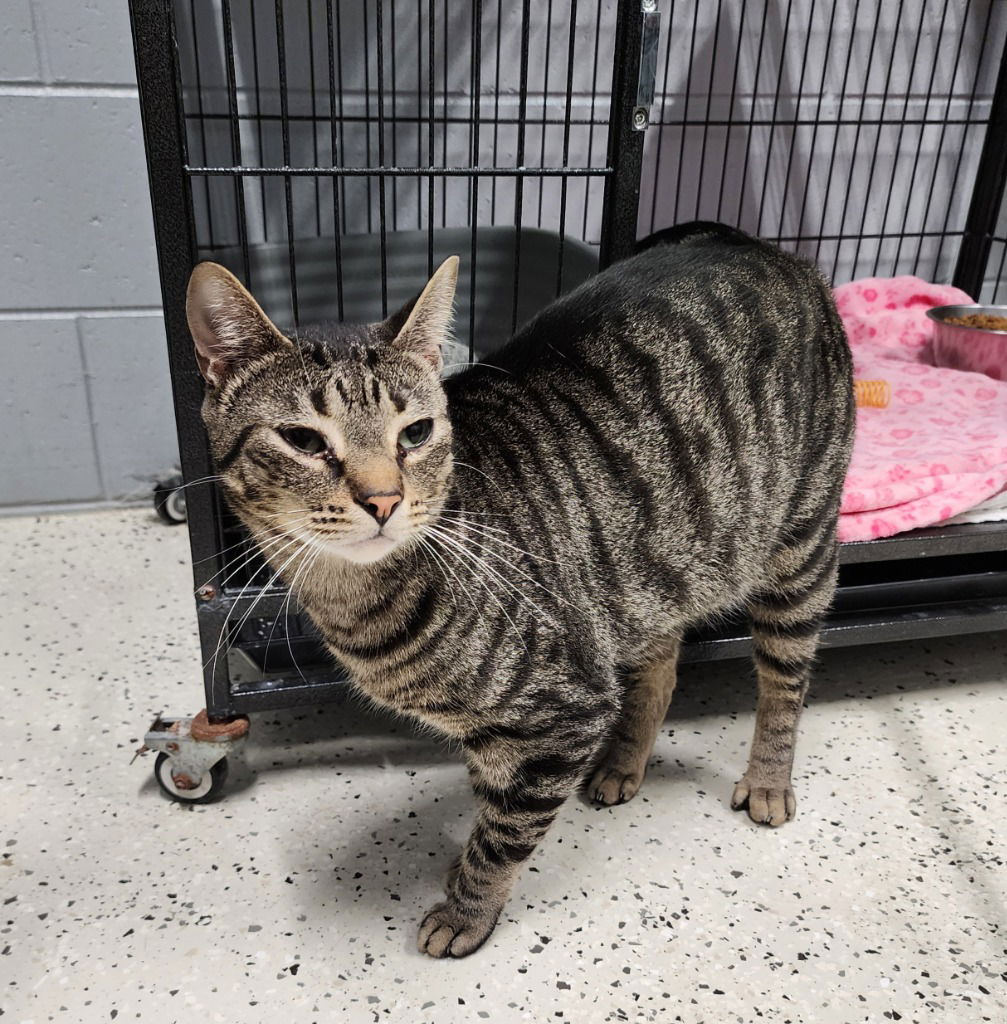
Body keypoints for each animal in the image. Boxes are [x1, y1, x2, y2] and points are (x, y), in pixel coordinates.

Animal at [185, 224, 856, 958]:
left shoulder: (567, 710)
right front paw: (464, 862)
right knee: (661, 665)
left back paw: (767, 779)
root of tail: (755, 243)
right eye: (303, 440)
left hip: (800, 549)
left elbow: (505, 834)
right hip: (650, 570)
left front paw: (468, 909)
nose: (384, 499)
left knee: (783, 685)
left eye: (415, 433)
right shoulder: (500, 727)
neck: (358, 604)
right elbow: (491, 796)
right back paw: (626, 762)